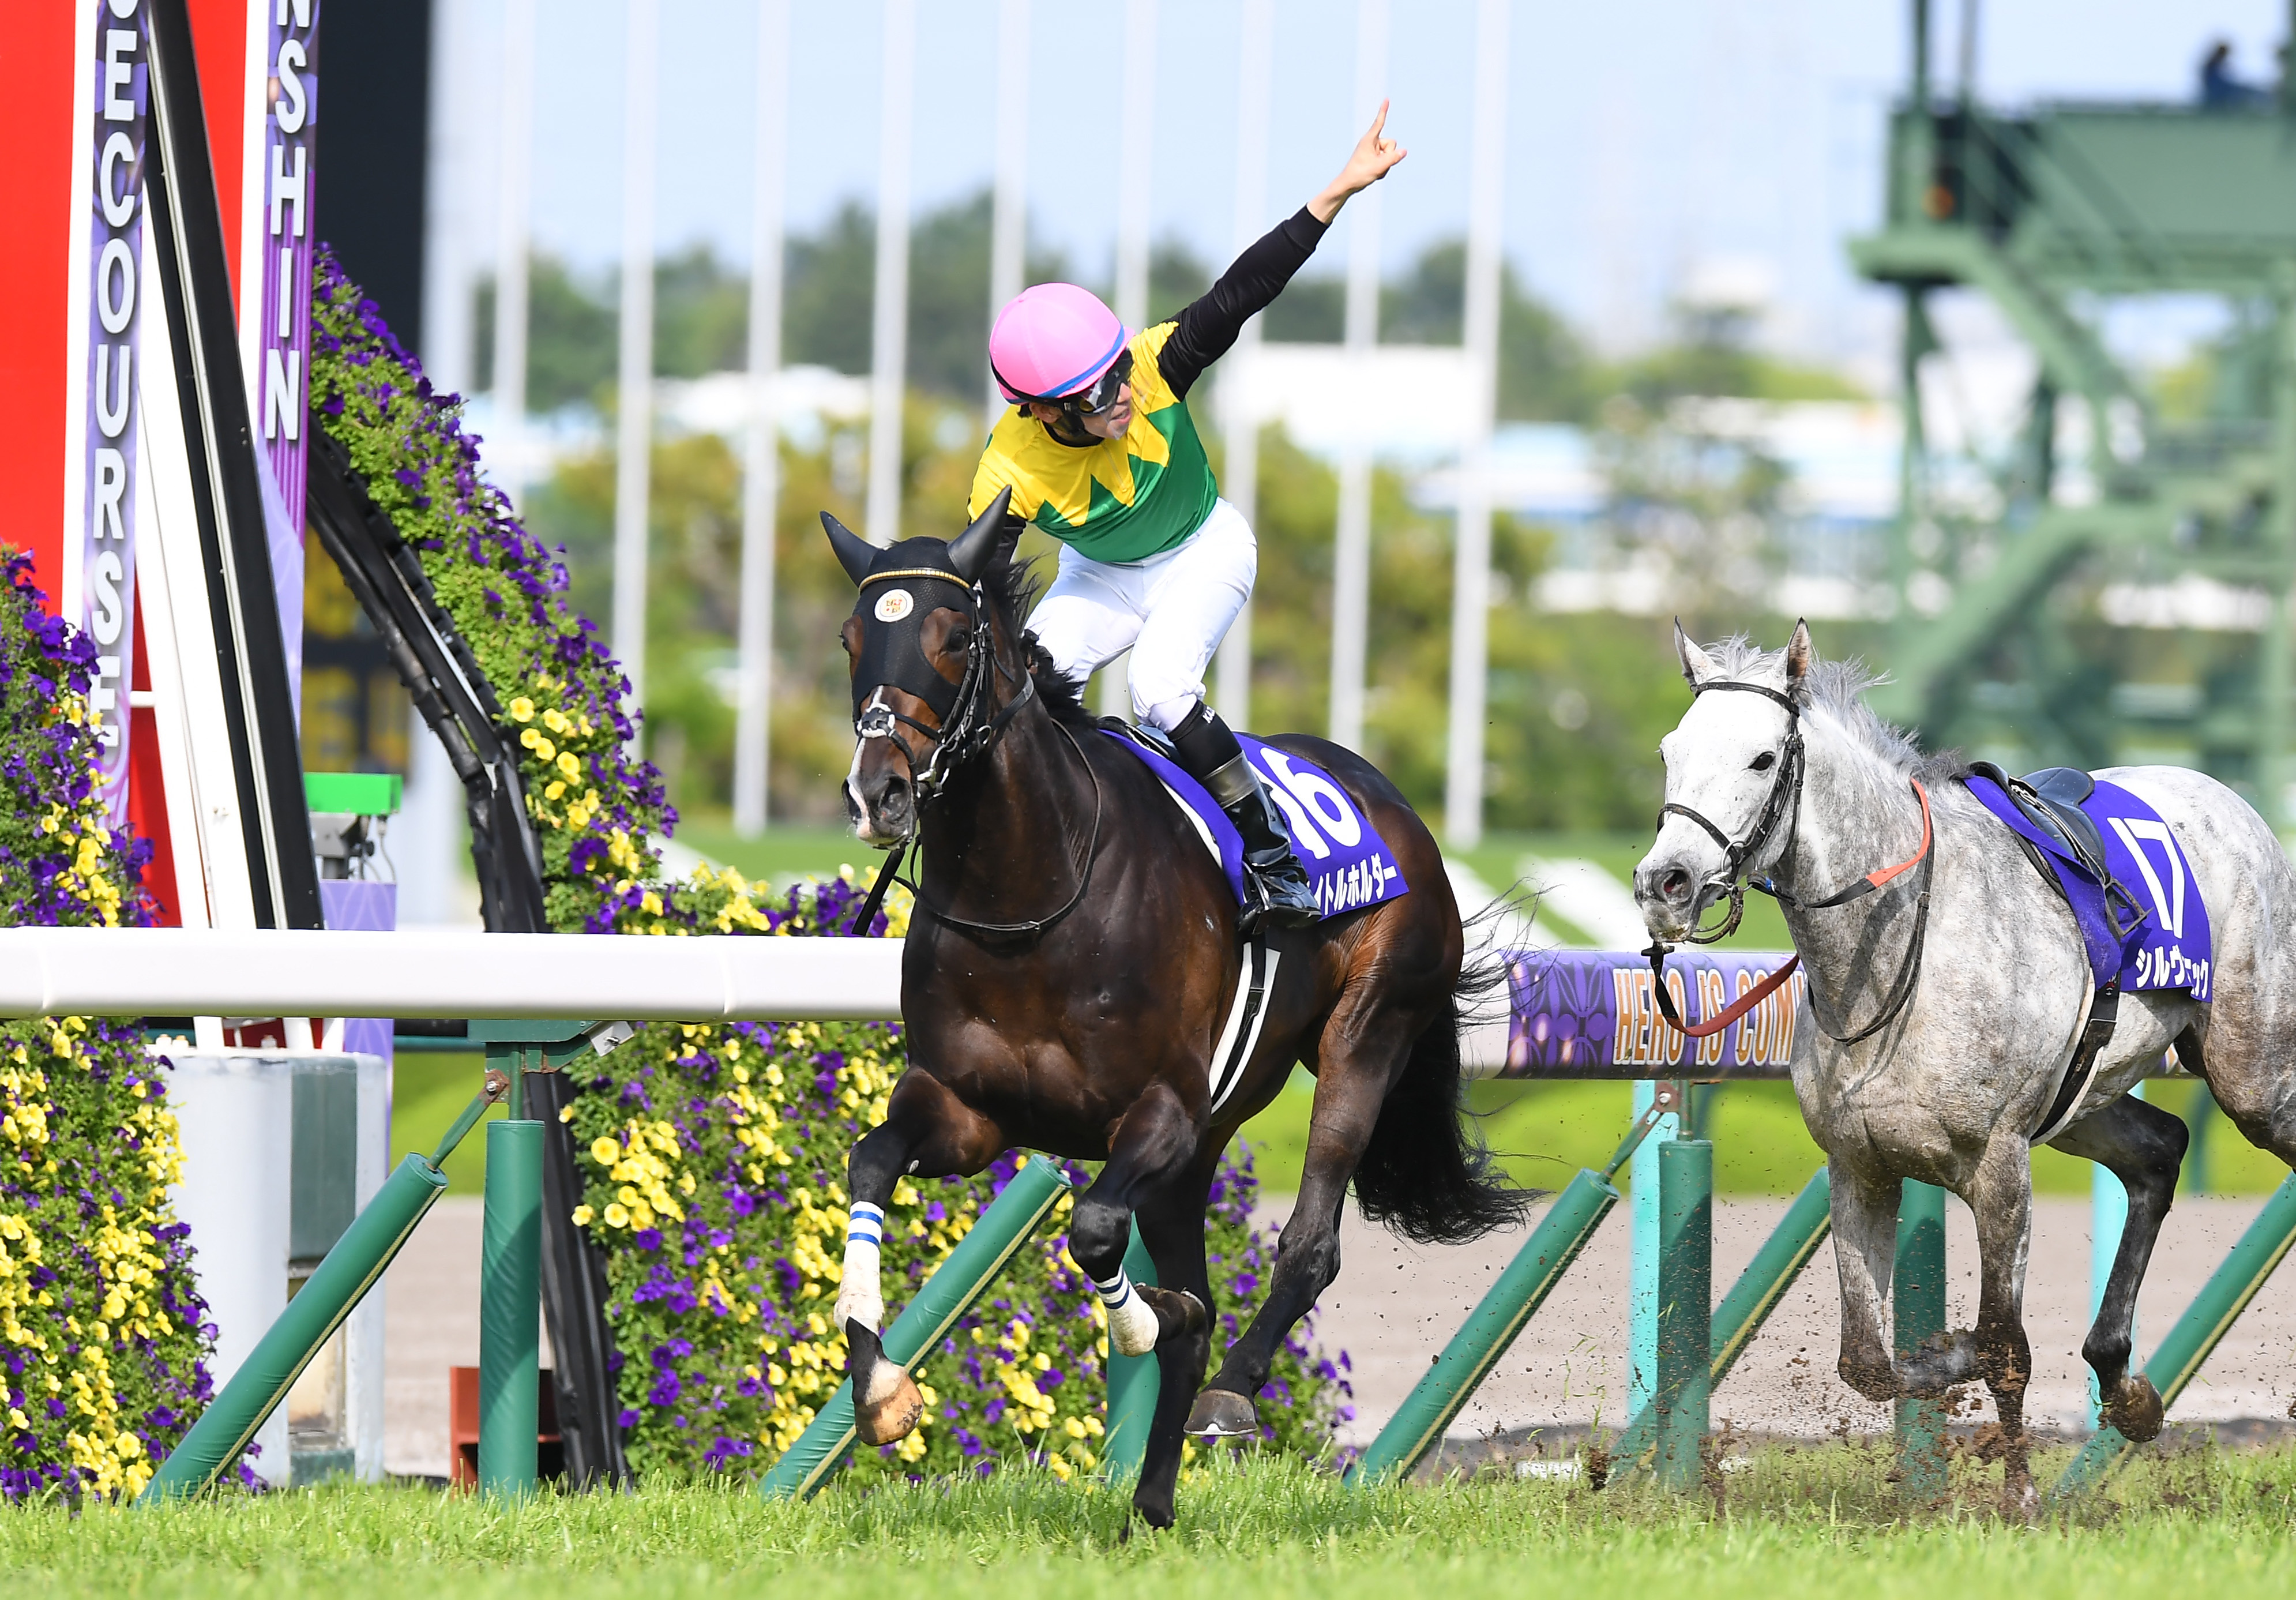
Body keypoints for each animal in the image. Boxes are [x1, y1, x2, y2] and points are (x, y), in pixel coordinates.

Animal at [815, 491, 1521, 1526]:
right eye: (852, 635)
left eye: (951, 636)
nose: (879, 788)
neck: (1031, 894)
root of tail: (1392, 800)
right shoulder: (967, 1107)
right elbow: (870, 1160)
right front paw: (880, 1387)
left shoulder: (1158, 1110)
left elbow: (1098, 1231)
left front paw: (1155, 1321)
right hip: (1205, 1143)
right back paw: (1150, 1499)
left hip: (1367, 1029)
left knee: (1310, 1243)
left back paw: (1228, 1389)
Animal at [1633, 620, 2296, 1502]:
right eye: (1670, 750)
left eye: (1762, 759)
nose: (1663, 881)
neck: (1891, 957)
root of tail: (2232, 801)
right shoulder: (1860, 1167)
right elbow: (1870, 1362)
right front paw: (1942, 1356)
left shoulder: (2000, 1163)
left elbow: (2003, 1341)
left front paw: (2018, 1492)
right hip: (2083, 1097)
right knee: (2159, 1149)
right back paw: (2124, 1383)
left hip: (2253, 1074)